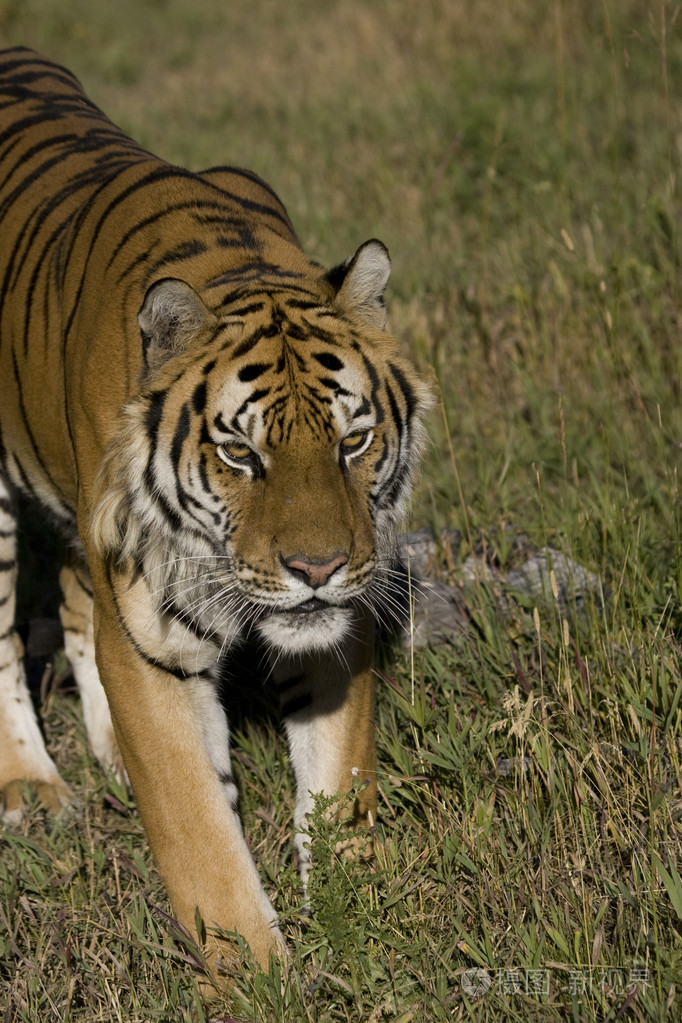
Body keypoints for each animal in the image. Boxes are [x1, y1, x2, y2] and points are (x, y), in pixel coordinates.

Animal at [0, 47, 429, 980]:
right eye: (241, 454)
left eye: (353, 441)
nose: (317, 568)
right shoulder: (148, 636)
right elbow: (196, 822)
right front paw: (257, 969)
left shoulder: (337, 622)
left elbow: (339, 776)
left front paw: (355, 911)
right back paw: (30, 787)